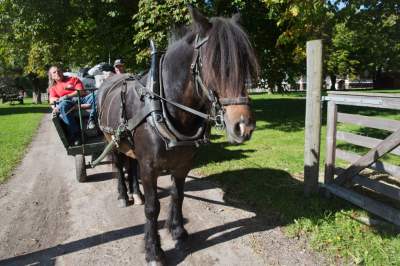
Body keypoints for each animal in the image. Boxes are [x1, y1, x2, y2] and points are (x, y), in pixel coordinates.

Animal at [98, 7, 258, 264]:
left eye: (244, 63)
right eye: (213, 63)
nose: (243, 127)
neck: (165, 107)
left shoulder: (183, 164)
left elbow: (177, 195)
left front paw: (178, 232)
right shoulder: (149, 166)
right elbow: (153, 208)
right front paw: (154, 250)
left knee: (130, 166)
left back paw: (136, 192)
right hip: (110, 140)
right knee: (120, 168)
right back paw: (124, 195)